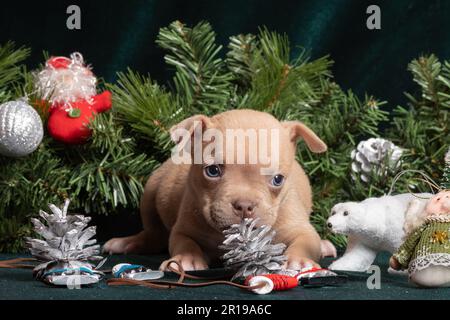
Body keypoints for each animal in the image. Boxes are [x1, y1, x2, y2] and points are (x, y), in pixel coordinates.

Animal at [103, 109, 332, 270]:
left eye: (277, 179)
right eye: (213, 171)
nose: (244, 205)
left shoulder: (297, 226)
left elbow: (305, 240)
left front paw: (298, 260)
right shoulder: (185, 228)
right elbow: (183, 242)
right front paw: (185, 258)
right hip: (150, 191)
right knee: (153, 233)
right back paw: (128, 243)